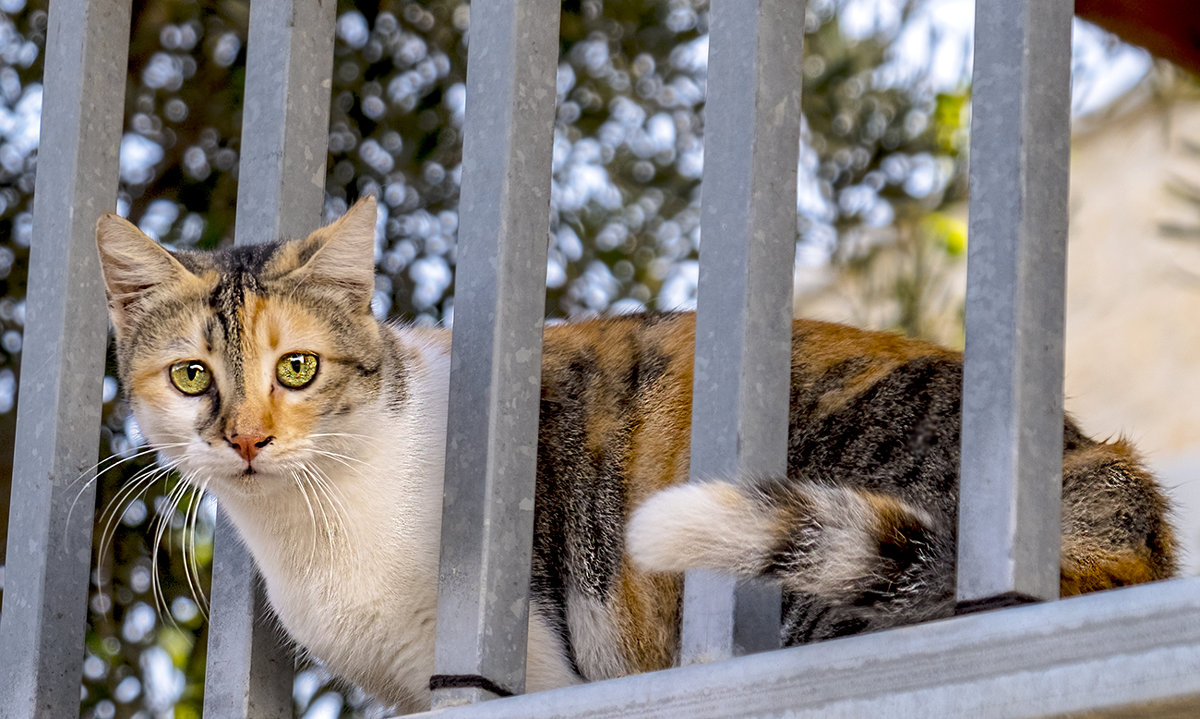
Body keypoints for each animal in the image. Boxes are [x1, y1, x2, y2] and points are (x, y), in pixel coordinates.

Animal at [98, 196, 1176, 715]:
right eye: (192, 377)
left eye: (297, 366)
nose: (246, 437)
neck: (314, 525)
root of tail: (1108, 482)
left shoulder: (532, 673)